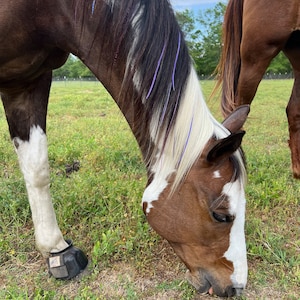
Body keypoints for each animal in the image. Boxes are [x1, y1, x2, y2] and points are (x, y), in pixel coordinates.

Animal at [0, 0, 248, 296]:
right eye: (221, 216)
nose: (237, 286)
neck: (44, 11)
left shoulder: (27, 79)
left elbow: (36, 168)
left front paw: (56, 250)